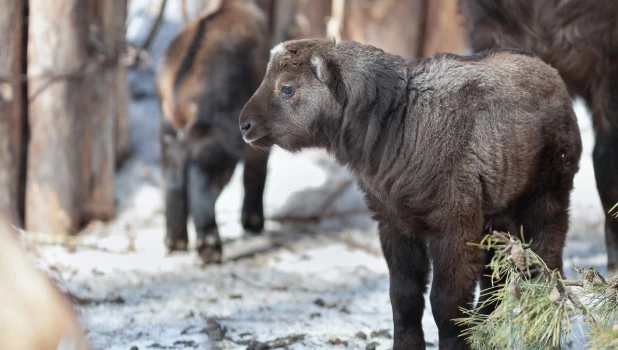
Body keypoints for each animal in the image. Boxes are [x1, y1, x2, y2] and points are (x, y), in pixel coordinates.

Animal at [155, 0, 268, 262]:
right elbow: (256, 171)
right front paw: (253, 222)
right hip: (219, 138)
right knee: (201, 181)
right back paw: (209, 246)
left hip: (169, 133)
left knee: (173, 177)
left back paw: (175, 241)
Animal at [238, 39, 580, 348]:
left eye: (287, 88)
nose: (244, 125)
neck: (399, 118)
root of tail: (549, 71)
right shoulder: (395, 225)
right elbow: (404, 298)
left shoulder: (454, 226)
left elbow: (447, 302)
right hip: (496, 219)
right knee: (494, 285)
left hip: (547, 202)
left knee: (547, 273)